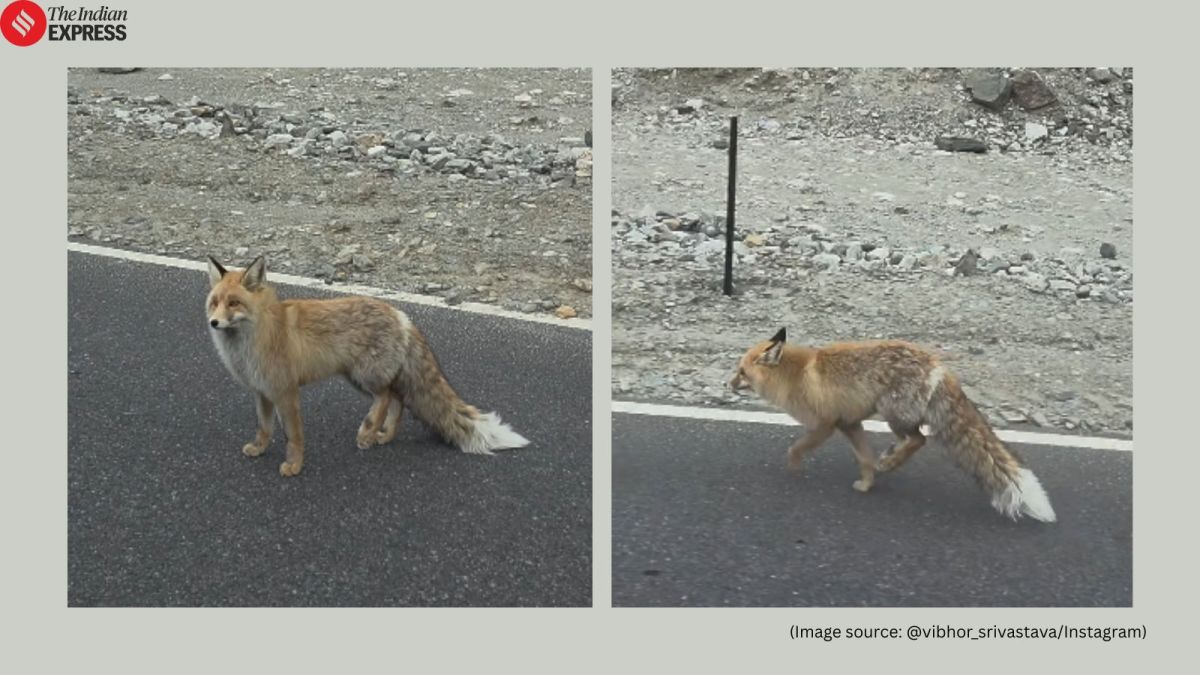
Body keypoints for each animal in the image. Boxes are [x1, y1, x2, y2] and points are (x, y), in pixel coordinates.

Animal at [205, 255, 529, 477]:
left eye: (234, 304)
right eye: (214, 303)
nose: (213, 323)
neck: (254, 339)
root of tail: (401, 315)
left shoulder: (286, 391)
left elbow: (293, 436)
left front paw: (294, 466)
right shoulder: (261, 392)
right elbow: (264, 428)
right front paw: (259, 449)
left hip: (363, 376)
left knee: (386, 397)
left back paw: (368, 432)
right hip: (361, 377)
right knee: (397, 399)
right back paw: (383, 436)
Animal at [729, 328, 1056, 522]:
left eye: (741, 372)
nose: (728, 384)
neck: (793, 376)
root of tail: (939, 366)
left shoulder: (826, 424)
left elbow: (795, 449)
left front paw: (795, 471)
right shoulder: (851, 423)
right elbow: (864, 458)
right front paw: (867, 484)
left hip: (891, 412)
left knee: (918, 440)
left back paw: (891, 461)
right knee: (909, 442)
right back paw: (888, 459)